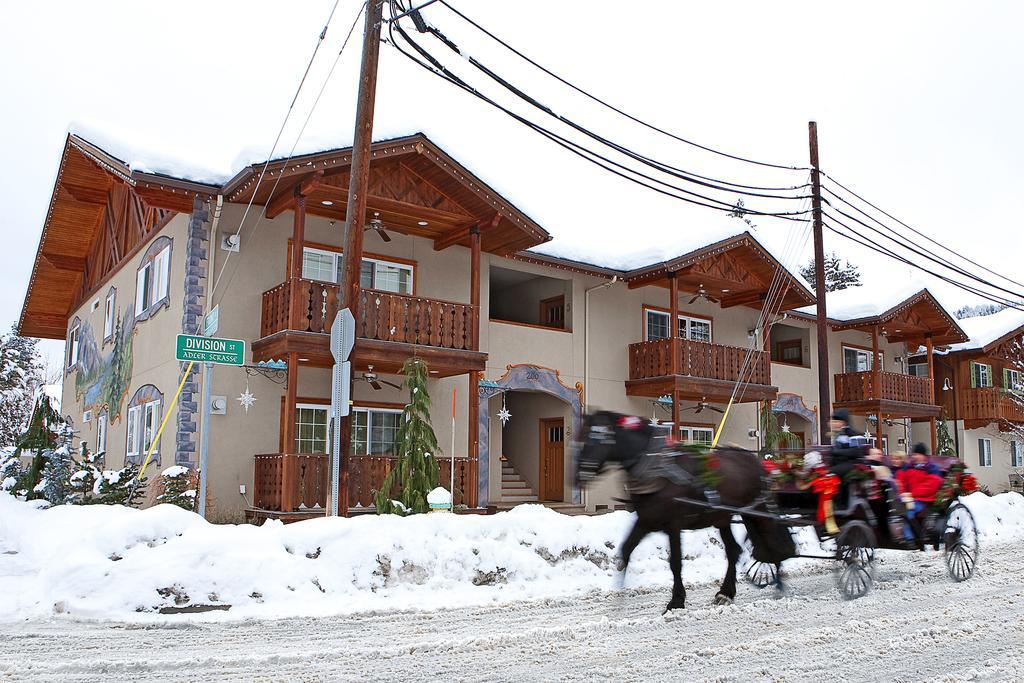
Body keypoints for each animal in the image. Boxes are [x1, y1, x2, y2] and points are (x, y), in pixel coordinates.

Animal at [573, 411, 794, 614]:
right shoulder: (646, 520)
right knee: (734, 550)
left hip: (756, 511)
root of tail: (755, 461)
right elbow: (625, 551)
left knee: (773, 538)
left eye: (595, 437)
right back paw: (726, 592)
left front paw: (676, 601)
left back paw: (778, 582)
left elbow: (675, 562)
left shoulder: (673, 524)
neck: (656, 468)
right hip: (723, 517)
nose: (579, 476)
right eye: (580, 437)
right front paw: (619, 598)